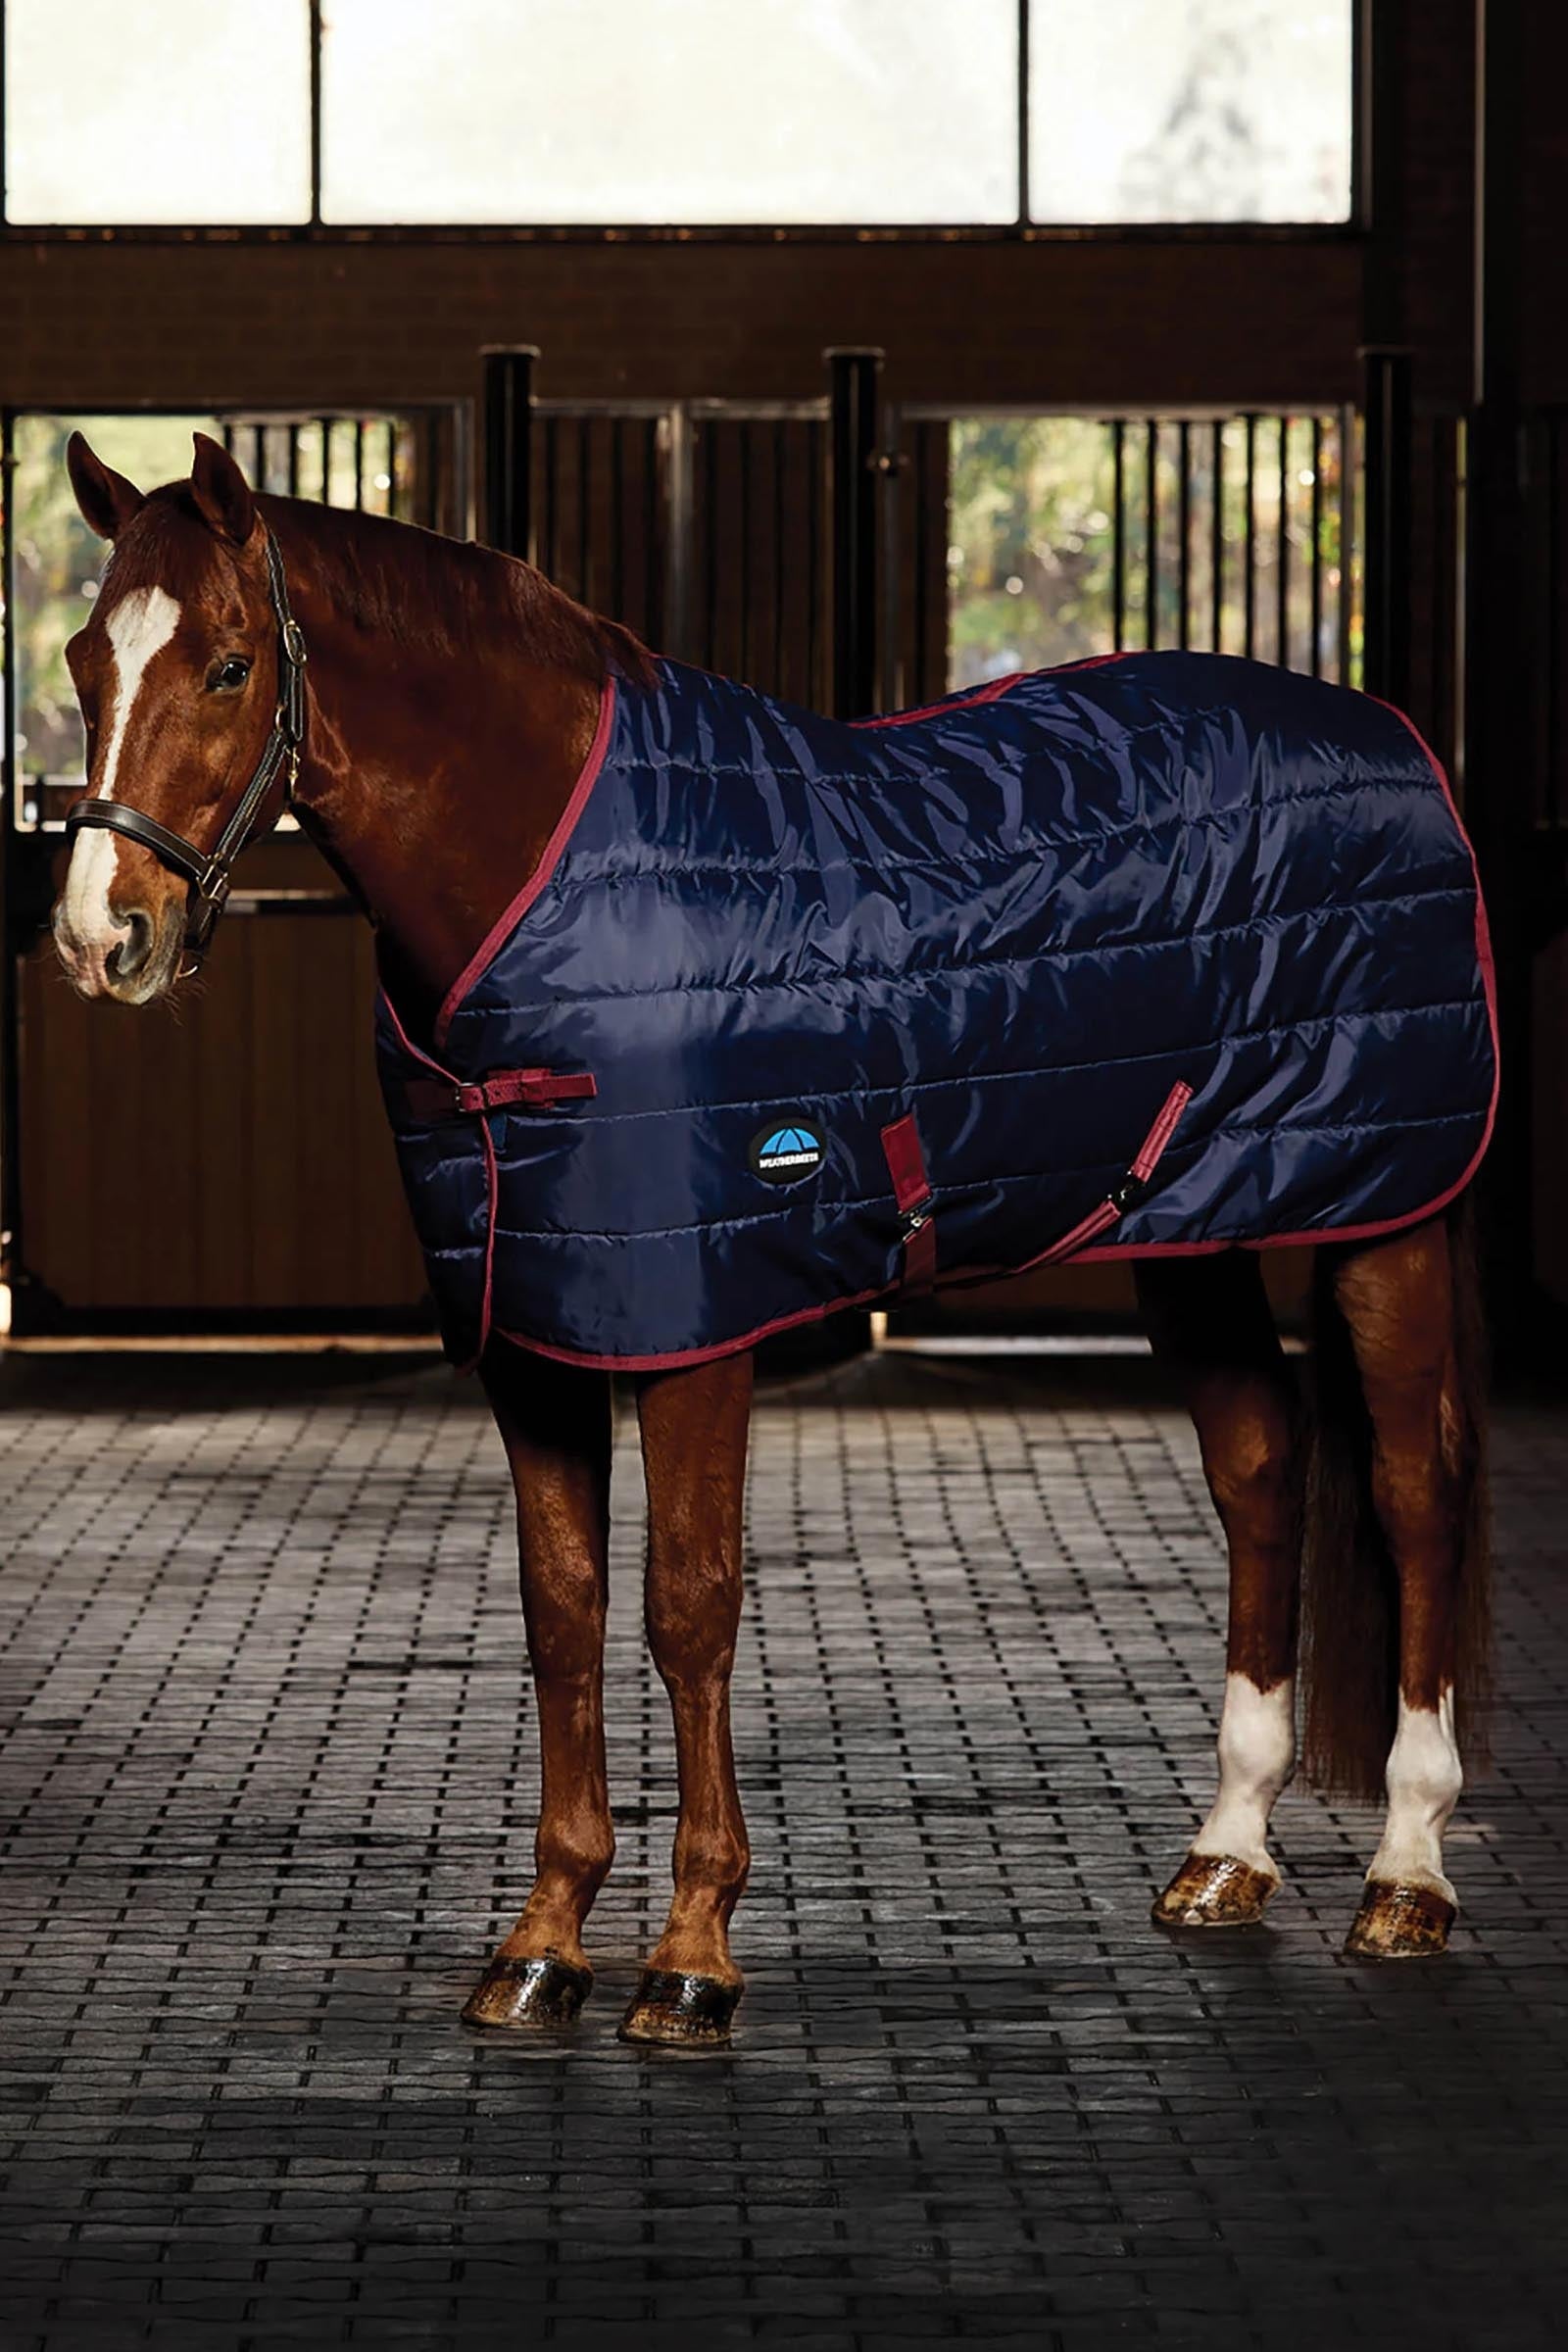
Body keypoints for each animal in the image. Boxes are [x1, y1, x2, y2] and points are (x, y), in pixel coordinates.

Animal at [50, 430, 1495, 2046]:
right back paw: (1226, 1855)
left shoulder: (698, 1322)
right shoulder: (537, 1327)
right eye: (84, 663)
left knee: (1415, 1492)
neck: (552, 885)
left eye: (230, 665)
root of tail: (1390, 736)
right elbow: (562, 1611)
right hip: (1194, 1222)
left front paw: (691, 1958)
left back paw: (1408, 1874)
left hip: (1388, 1212)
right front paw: (543, 1942)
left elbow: (688, 1608)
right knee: (1259, 1467)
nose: (102, 937)